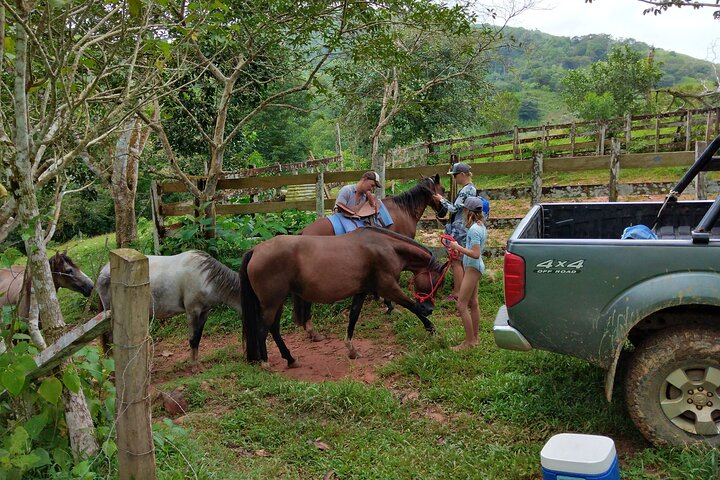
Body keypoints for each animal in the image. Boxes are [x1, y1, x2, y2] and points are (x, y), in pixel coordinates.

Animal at [239, 227, 448, 366]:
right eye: (437, 282)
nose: (430, 308)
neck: (386, 247)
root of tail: (255, 250)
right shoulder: (388, 288)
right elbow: (411, 306)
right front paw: (432, 329)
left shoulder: (362, 291)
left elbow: (353, 317)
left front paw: (352, 350)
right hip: (272, 303)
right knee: (262, 329)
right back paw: (265, 362)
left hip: (277, 302)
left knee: (273, 329)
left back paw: (289, 359)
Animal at [296, 174, 444, 340]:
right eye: (443, 189)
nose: (444, 212)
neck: (403, 210)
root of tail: (303, 232)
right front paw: (390, 305)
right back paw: (312, 330)